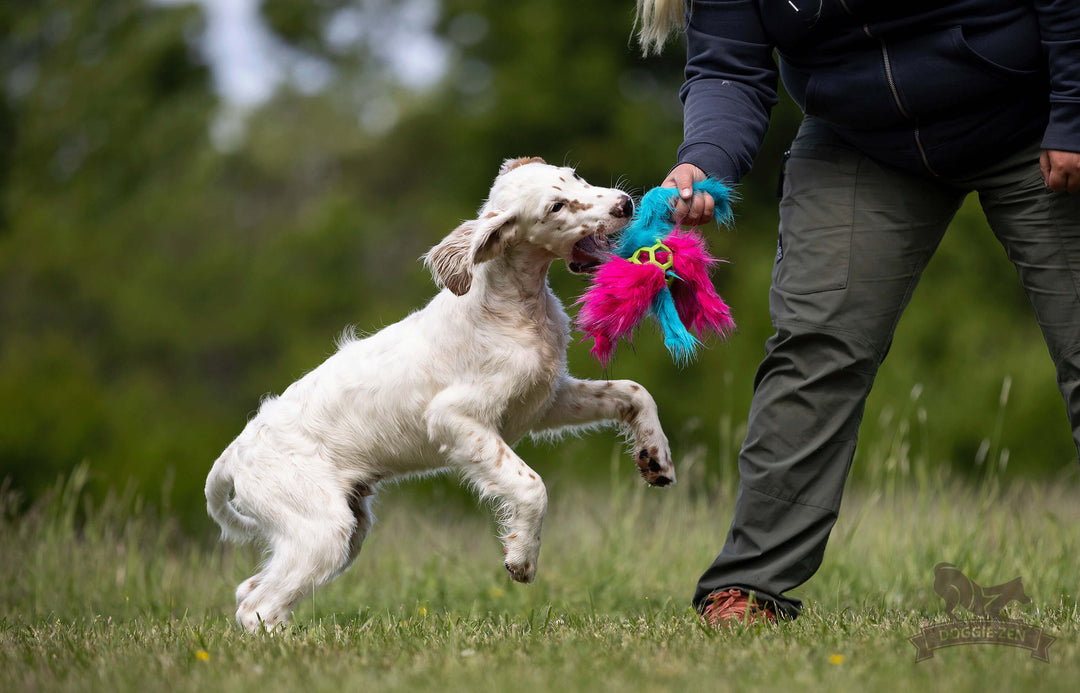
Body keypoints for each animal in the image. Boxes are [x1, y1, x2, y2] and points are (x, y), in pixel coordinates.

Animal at [204, 157, 673, 630]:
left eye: (575, 176)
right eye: (555, 207)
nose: (625, 203)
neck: (516, 308)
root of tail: (235, 453)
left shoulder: (546, 401)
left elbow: (635, 392)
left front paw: (656, 458)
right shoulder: (455, 418)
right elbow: (531, 485)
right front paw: (521, 558)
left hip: (343, 528)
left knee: (251, 588)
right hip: (322, 529)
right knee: (256, 606)